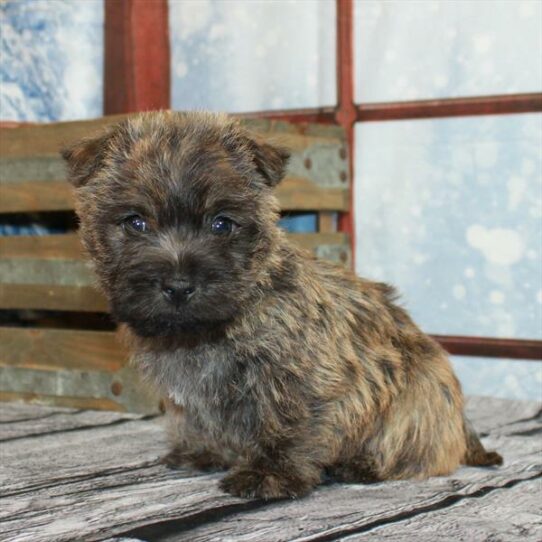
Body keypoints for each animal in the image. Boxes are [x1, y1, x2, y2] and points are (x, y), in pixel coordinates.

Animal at [61, 111, 504, 502]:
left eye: (221, 224)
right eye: (136, 222)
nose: (179, 286)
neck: (214, 328)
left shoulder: (302, 376)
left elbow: (287, 424)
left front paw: (270, 475)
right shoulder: (189, 392)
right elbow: (198, 419)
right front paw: (203, 452)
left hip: (421, 398)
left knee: (419, 449)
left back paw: (362, 464)